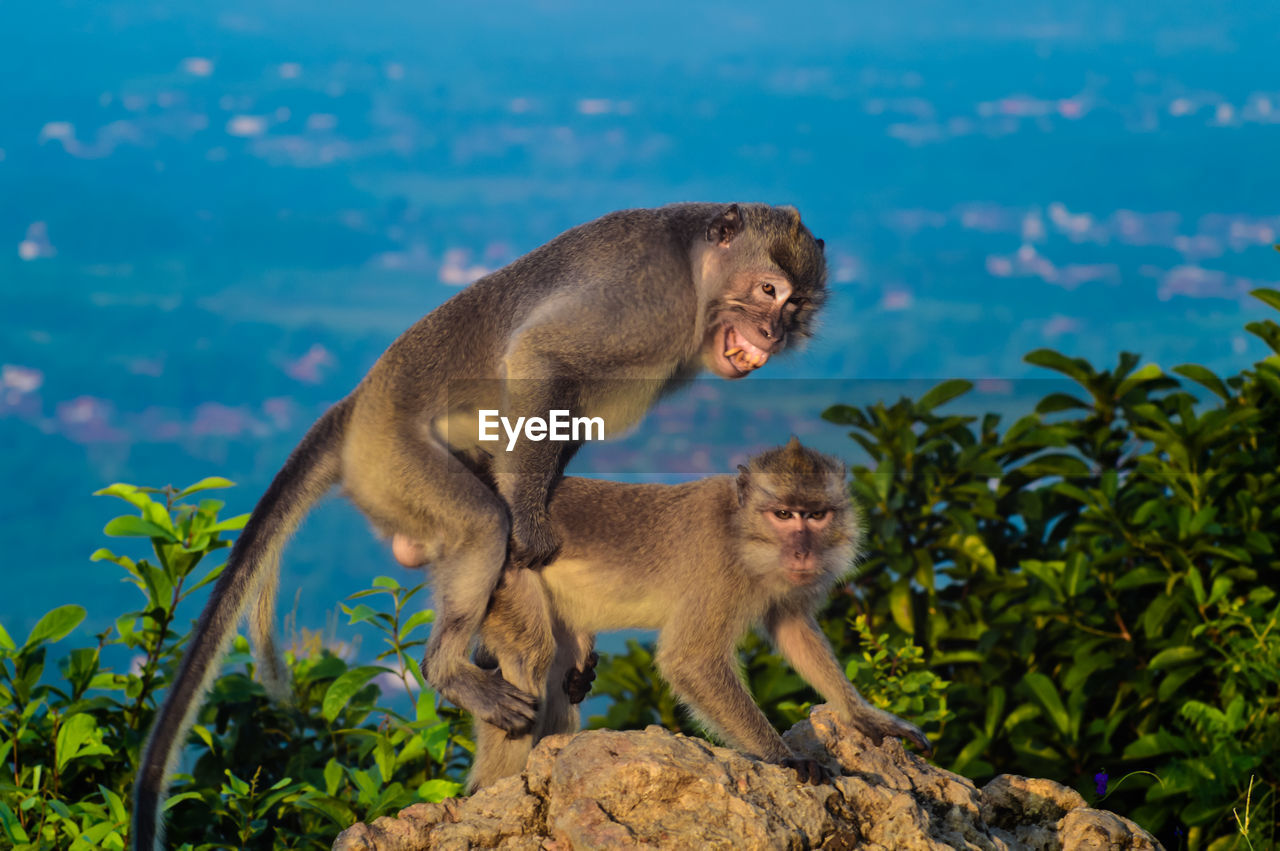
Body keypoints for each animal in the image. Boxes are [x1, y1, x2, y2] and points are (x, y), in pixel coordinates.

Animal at [132, 202, 829, 844]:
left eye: (795, 308)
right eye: (768, 290)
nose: (773, 330)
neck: (694, 270)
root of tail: (356, 407)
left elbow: (568, 422)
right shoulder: (643, 299)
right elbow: (542, 358)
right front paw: (530, 525)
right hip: (393, 463)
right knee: (481, 526)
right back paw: (451, 666)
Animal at [465, 437, 936, 788]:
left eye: (816, 515)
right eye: (784, 514)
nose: (803, 552)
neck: (742, 531)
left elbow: (793, 629)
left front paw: (864, 717)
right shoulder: (719, 569)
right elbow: (692, 660)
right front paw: (784, 758)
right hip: (499, 580)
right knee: (530, 657)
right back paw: (491, 789)